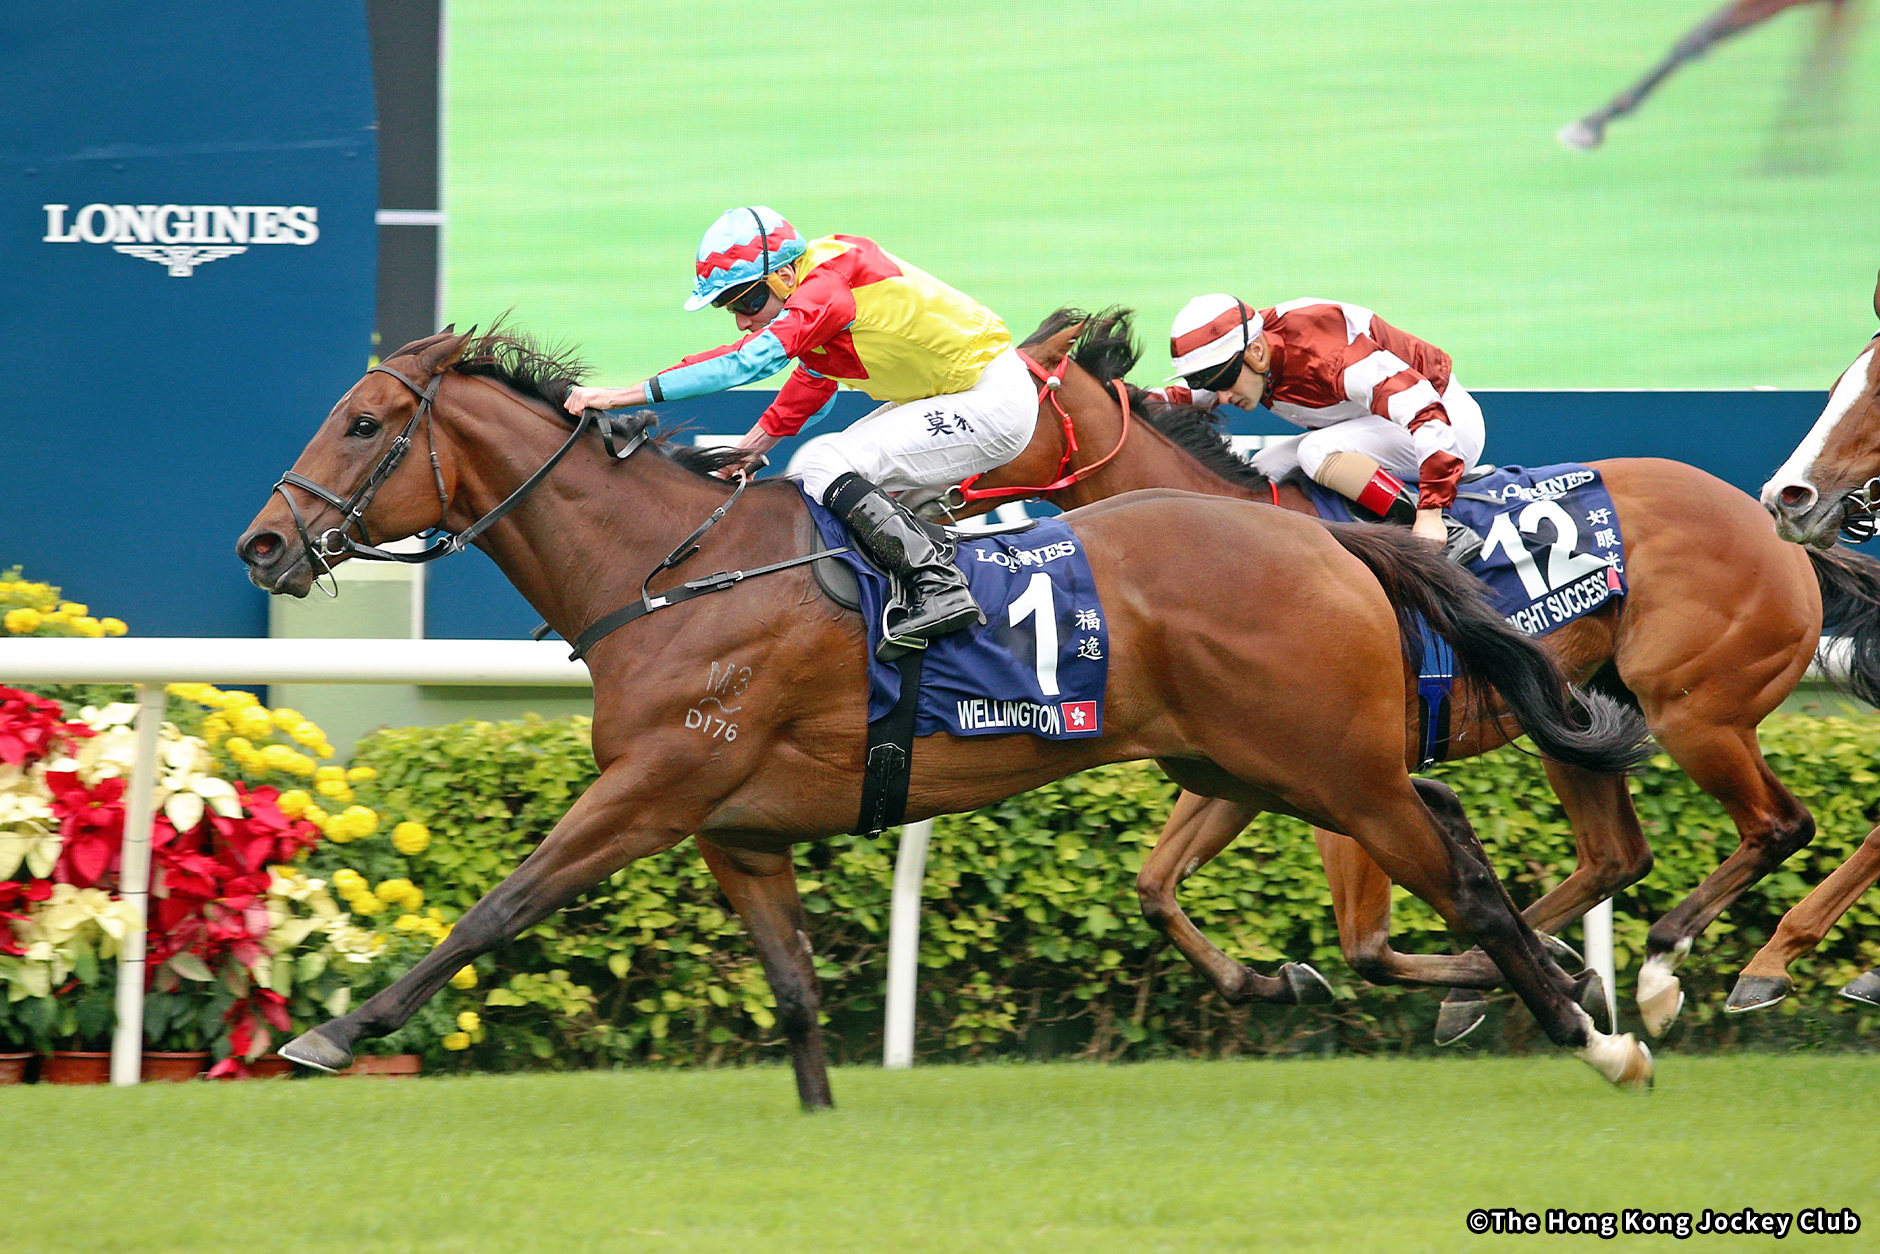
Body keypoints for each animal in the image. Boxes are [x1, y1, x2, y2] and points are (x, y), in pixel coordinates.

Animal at [235, 326, 1657, 1102]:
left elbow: (498, 905)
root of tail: (1323, 538)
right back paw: (1509, 987)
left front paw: (328, 1033)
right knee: (1450, 831)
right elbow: (795, 993)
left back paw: (1596, 1042)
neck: (668, 570)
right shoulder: (733, 828)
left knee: (1464, 881)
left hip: (1325, 768)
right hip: (1259, 761)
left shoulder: (650, 790)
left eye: (363, 422)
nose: (262, 545)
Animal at [907, 307, 1880, 1043]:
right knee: (1617, 855)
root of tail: (1773, 523)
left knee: (1778, 825)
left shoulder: (1347, 772)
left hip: (1692, 708)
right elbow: (1153, 888)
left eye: (974, 402)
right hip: (1579, 714)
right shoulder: (1250, 758)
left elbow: (1365, 945)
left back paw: (1687, 970)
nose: (917, 489)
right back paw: (1531, 972)